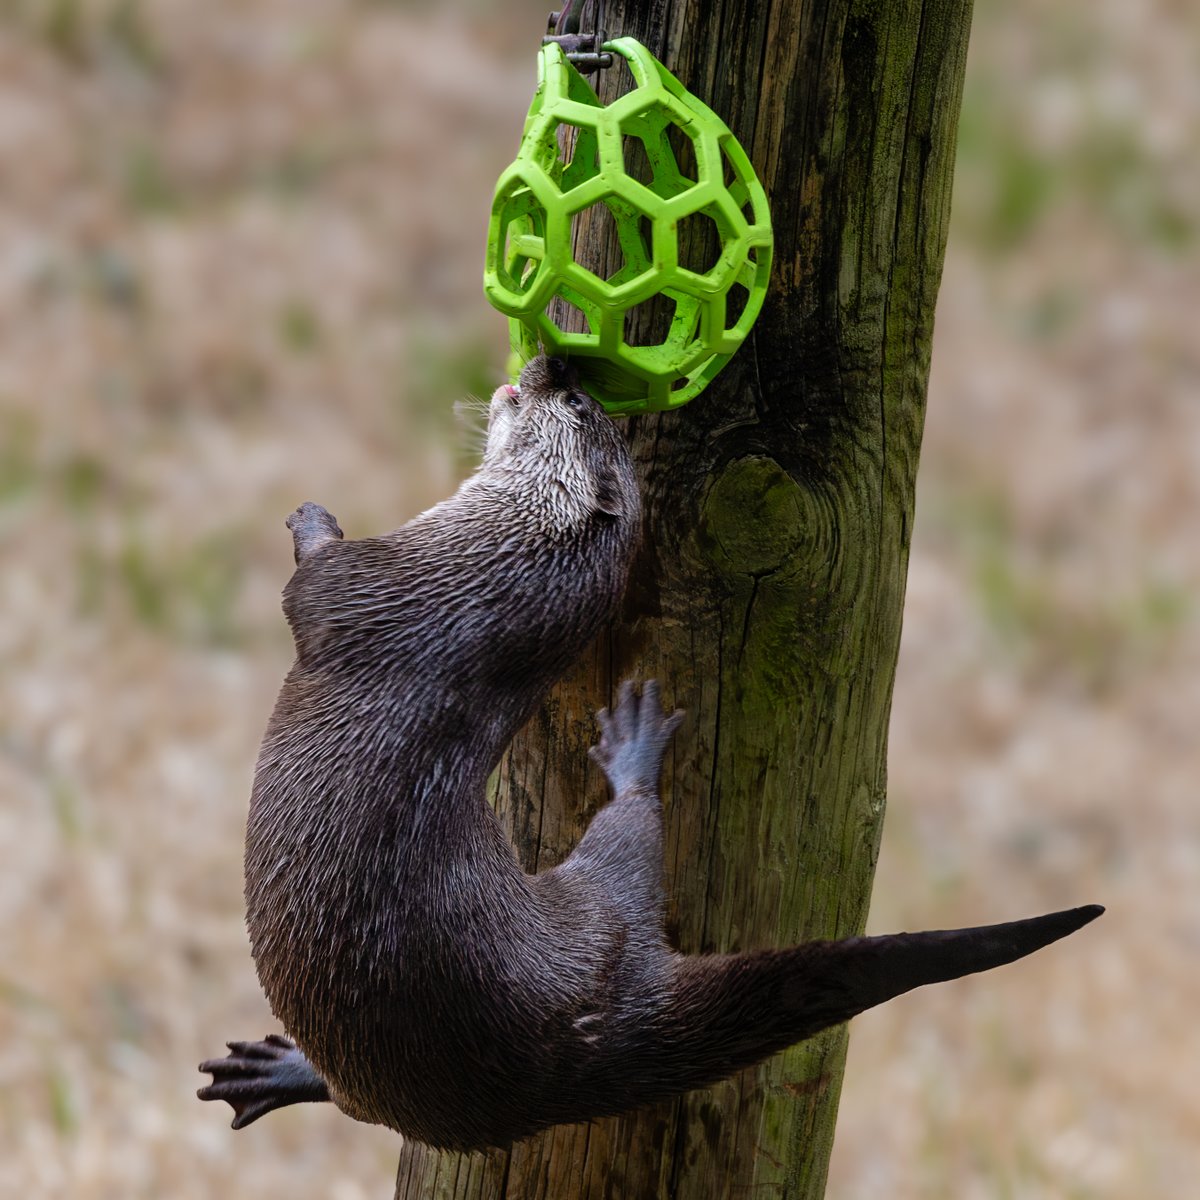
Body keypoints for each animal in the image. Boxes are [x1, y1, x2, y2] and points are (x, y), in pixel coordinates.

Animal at [199, 354, 1102, 1151]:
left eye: (574, 406)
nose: (562, 364)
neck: (483, 583)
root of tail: (603, 1045)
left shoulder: (366, 584)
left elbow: (311, 576)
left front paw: (312, 519)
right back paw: (276, 1072)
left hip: (600, 906)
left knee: (633, 835)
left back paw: (634, 751)